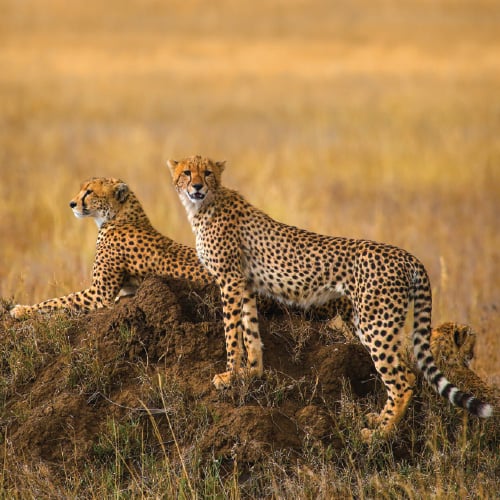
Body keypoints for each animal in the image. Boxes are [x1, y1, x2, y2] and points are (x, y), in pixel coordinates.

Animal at [10, 176, 213, 318]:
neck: (118, 217)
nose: (71, 204)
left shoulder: (99, 294)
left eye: (89, 192)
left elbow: (57, 301)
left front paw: (22, 310)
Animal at [167, 156, 492, 442]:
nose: (197, 186)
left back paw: (378, 436)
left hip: (376, 324)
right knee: (405, 376)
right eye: (187, 172)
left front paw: (230, 375)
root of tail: (407, 255)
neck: (205, 205)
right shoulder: (244, 283)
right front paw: (252, 372)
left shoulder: (230, 280)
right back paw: (378, 421)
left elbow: (232, 334)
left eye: (207, 172)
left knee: (404, 381)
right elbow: (250, 331)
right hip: (369, 321)